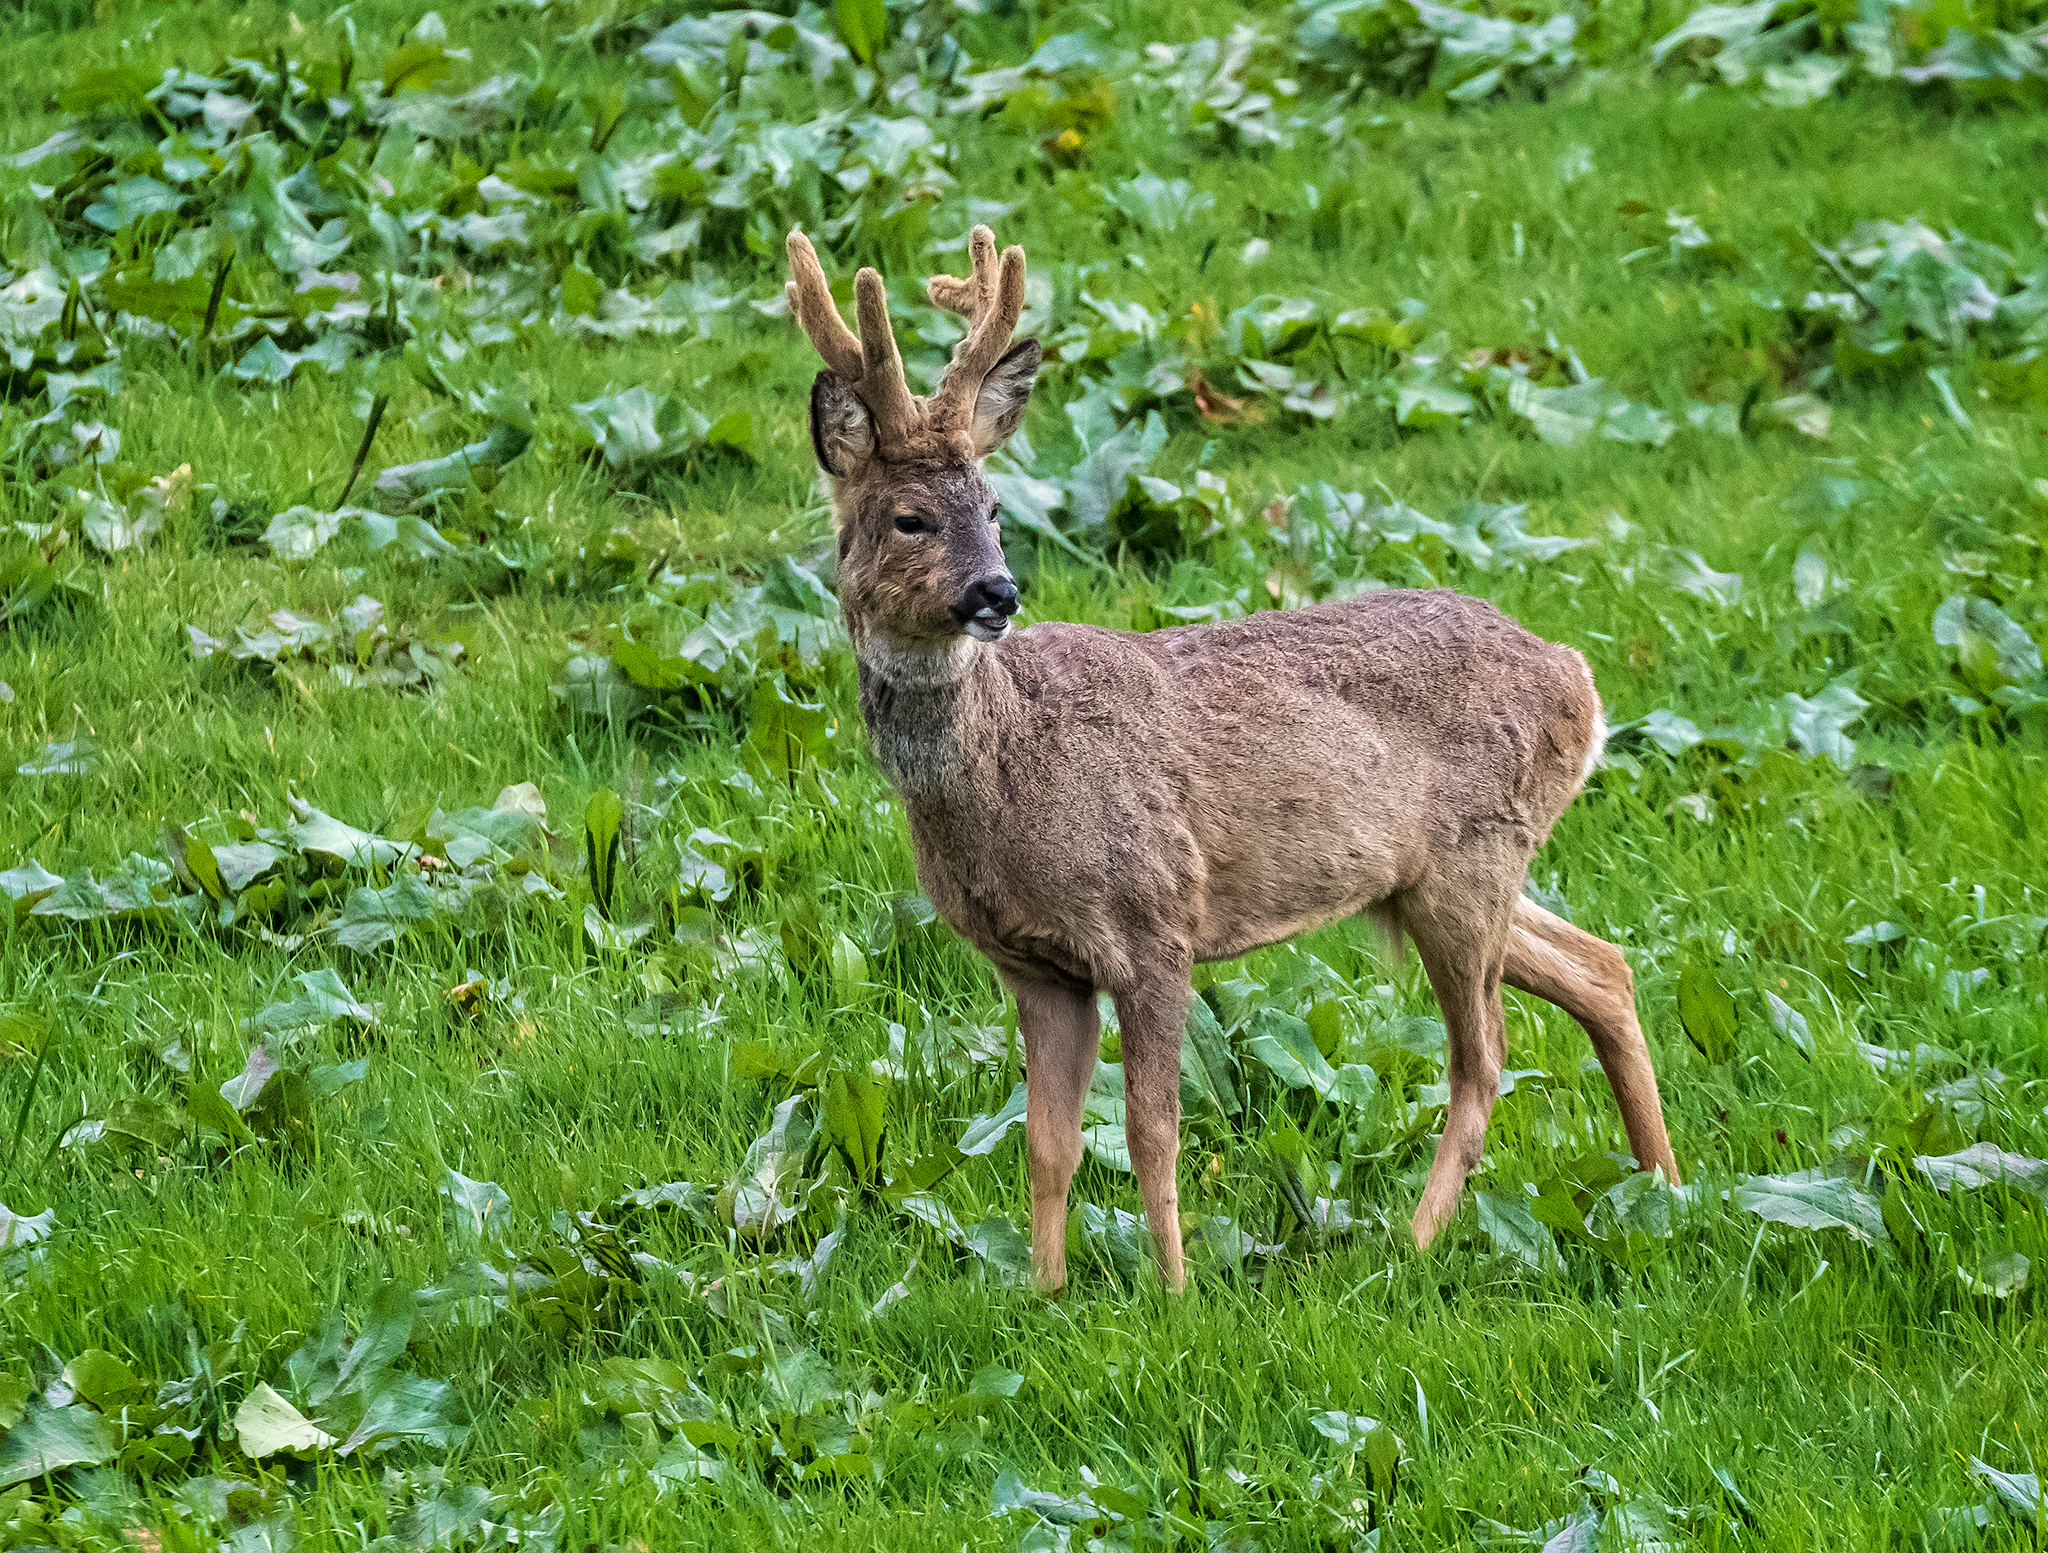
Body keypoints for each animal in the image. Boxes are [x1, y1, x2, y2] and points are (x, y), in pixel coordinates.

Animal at [784, 224, 1680, 1293]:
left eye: (995, 509)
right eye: (910, 518)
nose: (997, 592)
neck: (1009, 770)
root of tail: (1577, 678)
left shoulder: (1155, 920)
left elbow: (1152, 1129)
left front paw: (1173, 1291)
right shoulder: (1037, 965)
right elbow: (1048, 1142)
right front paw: (1043, 1291)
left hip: (1470, 860)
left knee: (1484, 1057)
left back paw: (1412, 1245)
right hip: (1444, 872)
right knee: (1602, 967)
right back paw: (1666, 1190)